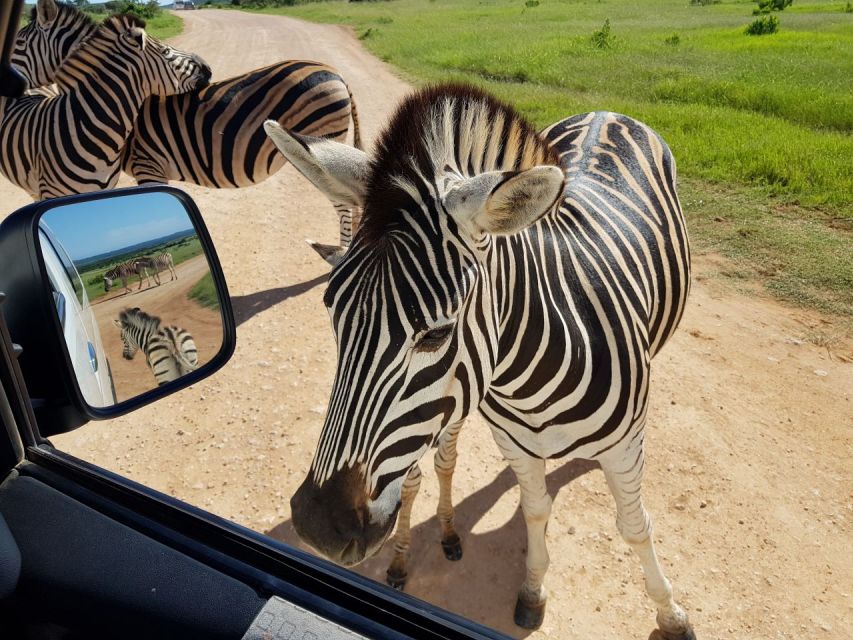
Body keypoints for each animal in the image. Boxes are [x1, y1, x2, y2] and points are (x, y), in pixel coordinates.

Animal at [264, 82, 692, 636]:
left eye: (437, 334)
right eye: (331, 310)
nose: (319, 525)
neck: (528, 383)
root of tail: (606, 111)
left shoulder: (623, 447)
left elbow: (635, 526)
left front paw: (670, 613)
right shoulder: (513, 442)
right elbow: (535, 511)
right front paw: (533, 590)